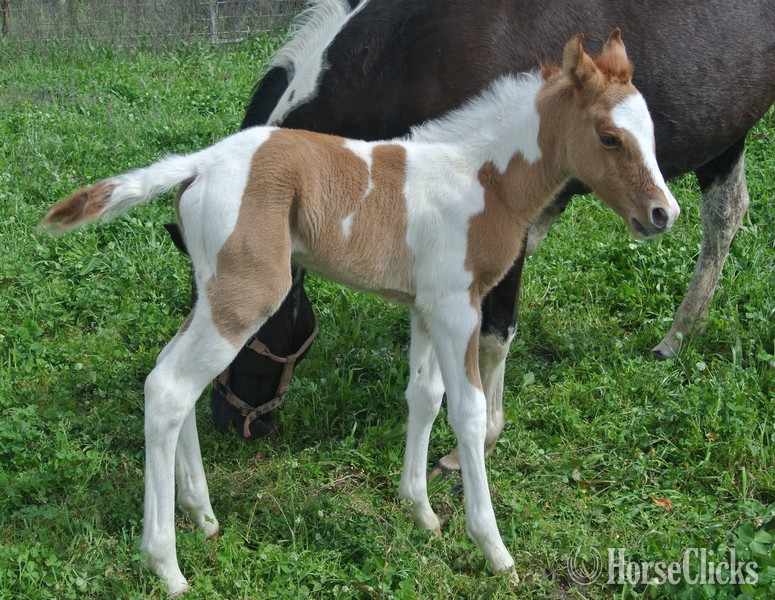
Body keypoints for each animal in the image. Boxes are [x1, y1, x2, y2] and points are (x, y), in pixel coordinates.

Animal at [40, 32, 678, 595]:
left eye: (650, 133)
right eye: (610, 137)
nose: (663, 213)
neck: (485, 180)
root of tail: (199, 163)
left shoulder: (425, 307)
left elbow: (424, 396)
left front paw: (421, 513)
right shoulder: (458, 308)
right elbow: (468, 412)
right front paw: (493, 550)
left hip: (214, 290)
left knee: (170, 378)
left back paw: (202, 515)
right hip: (247, 294)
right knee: (170, 388)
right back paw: (167, 566)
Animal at [197, 0, 775, 473]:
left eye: (247, 324)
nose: (225, 420)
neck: (412, 51)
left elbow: (495, 334)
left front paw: (478, 440)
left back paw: (675, 337)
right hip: (725, 135)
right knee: (726, 215)